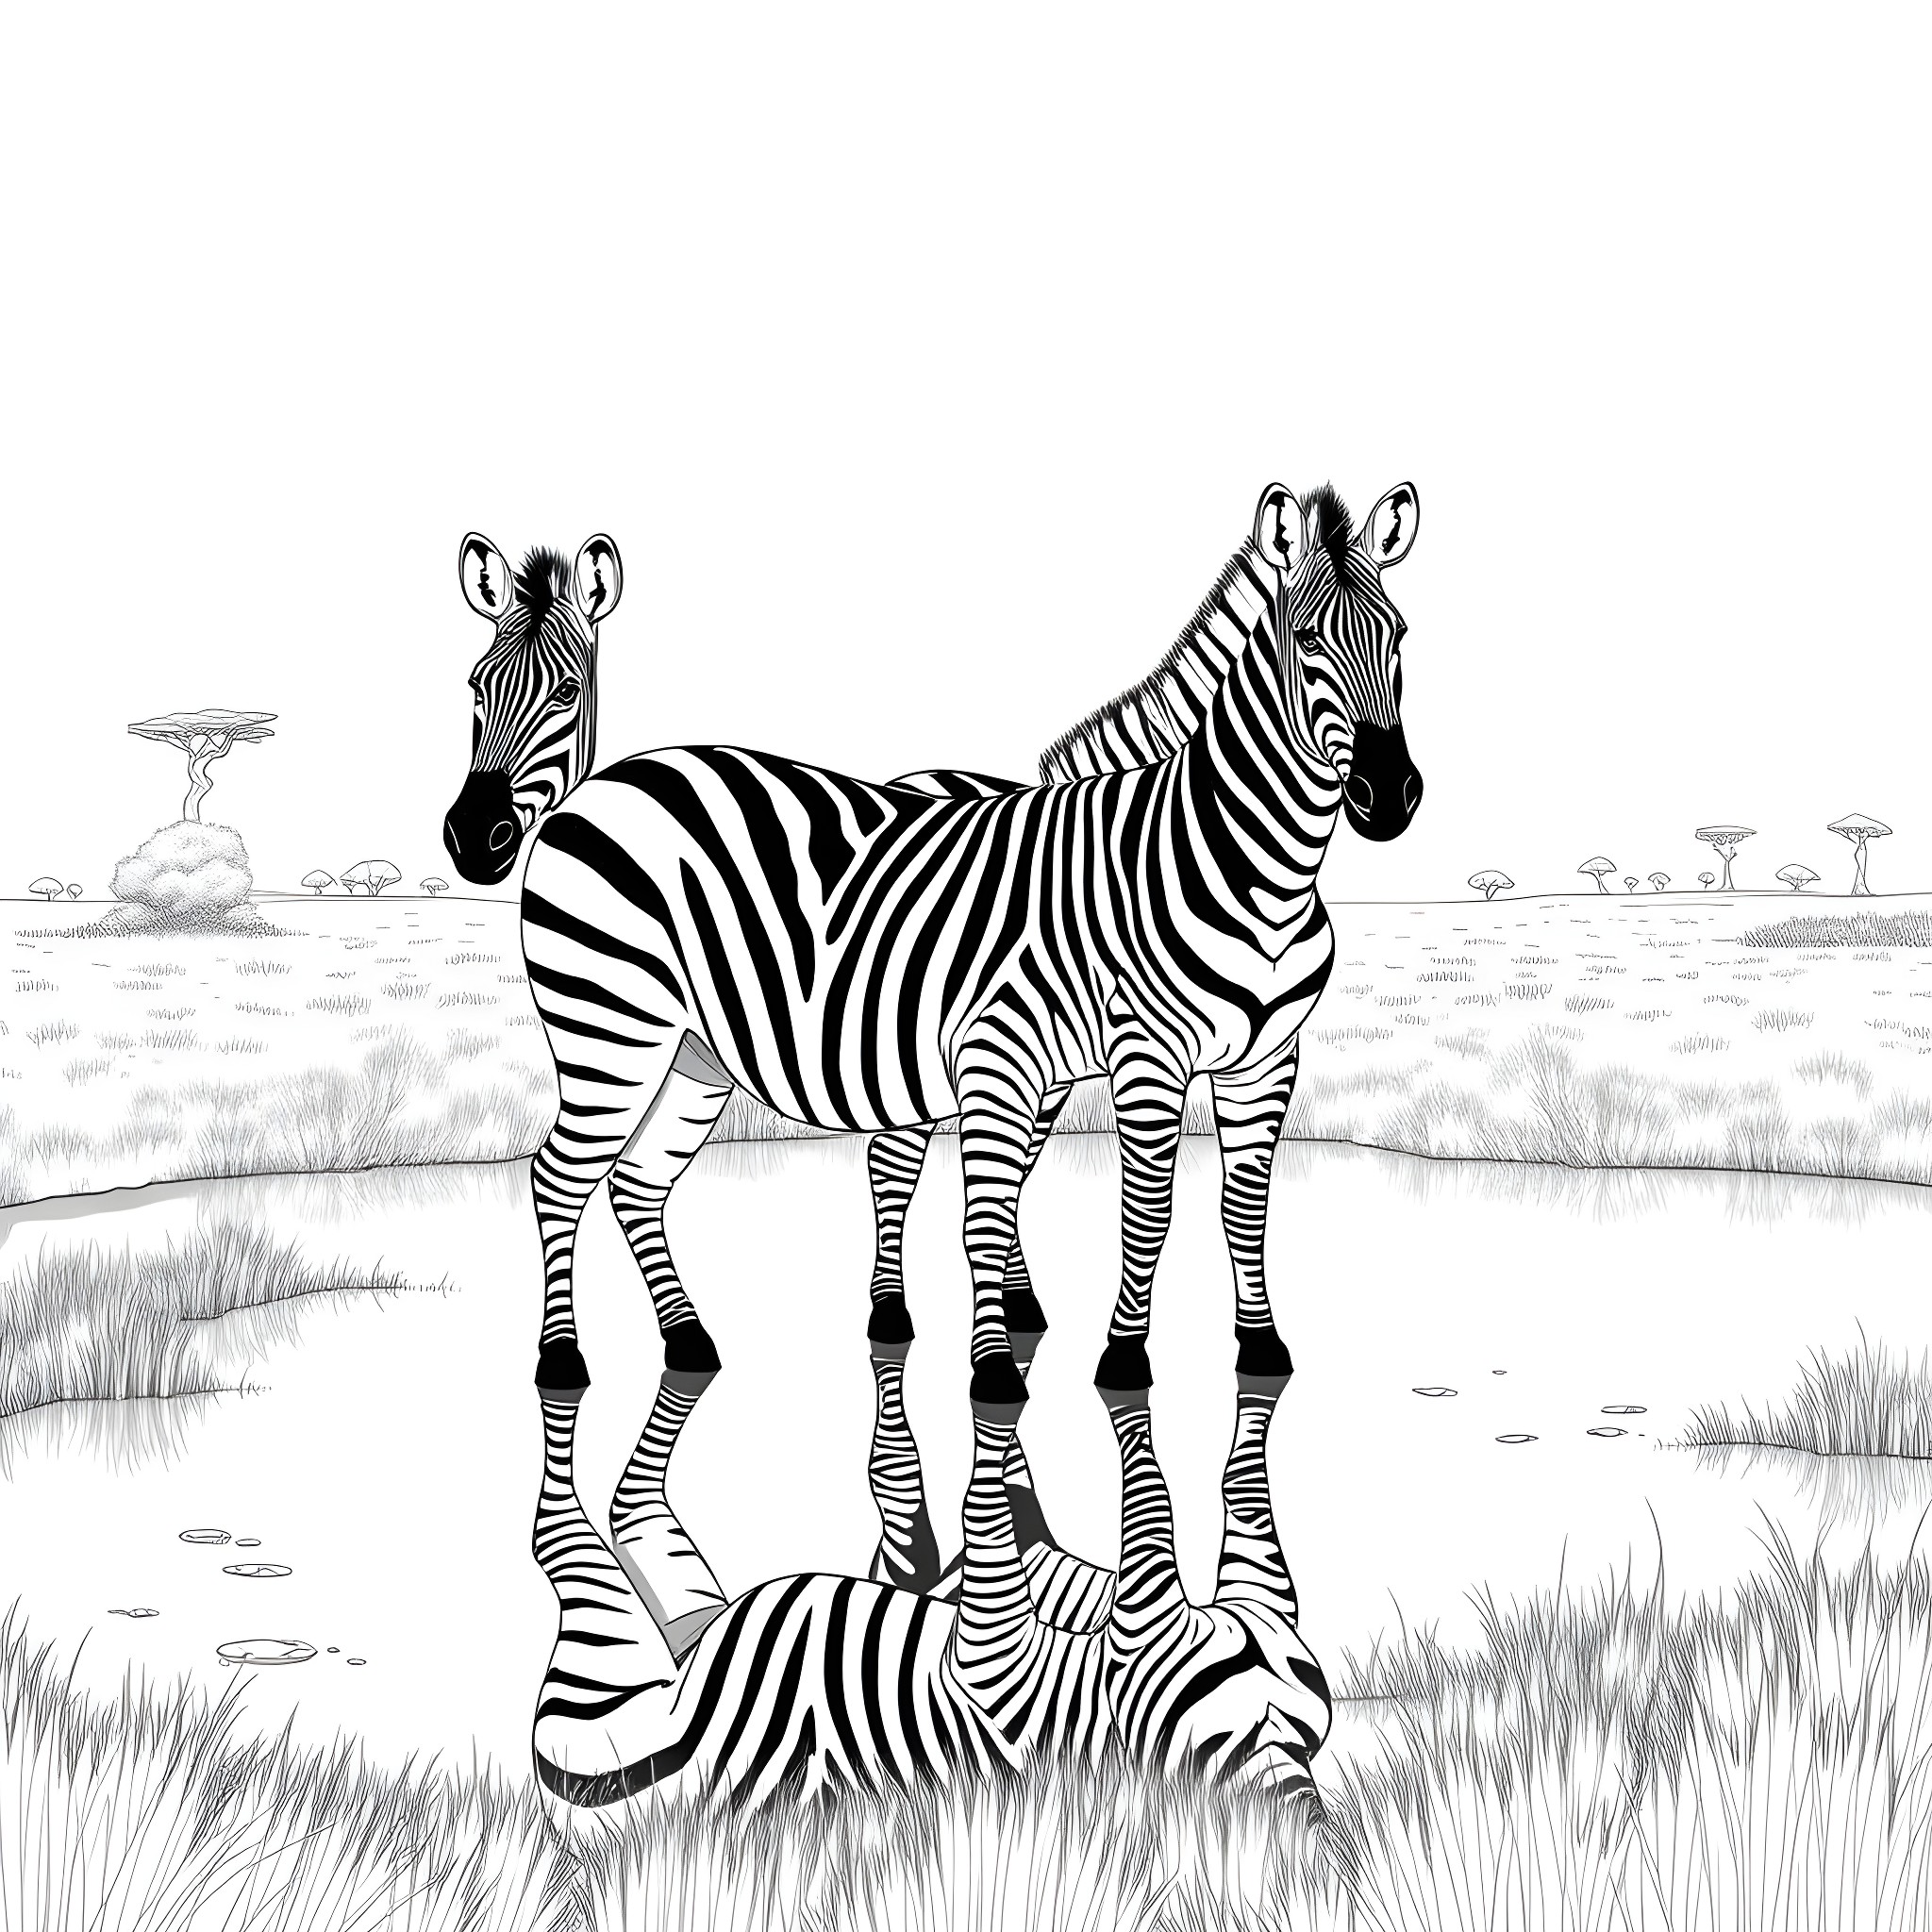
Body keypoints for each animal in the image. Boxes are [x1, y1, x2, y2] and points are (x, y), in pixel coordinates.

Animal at [440, 483, 1423, 1409]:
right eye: (1307, 640)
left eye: (1402, 636)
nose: (1393, 798)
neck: (1236, 864)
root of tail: (597, 789)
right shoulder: (1107, 1054)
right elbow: (1129, 1209)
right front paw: (1087, 1365)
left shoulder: (1266, 1061)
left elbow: (1240, 1208)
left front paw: (1258, 1349)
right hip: (612, 1029)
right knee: (558, 1178)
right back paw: (564, 1361)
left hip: (694, 1052)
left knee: (639, 1181)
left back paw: (693, 1343)